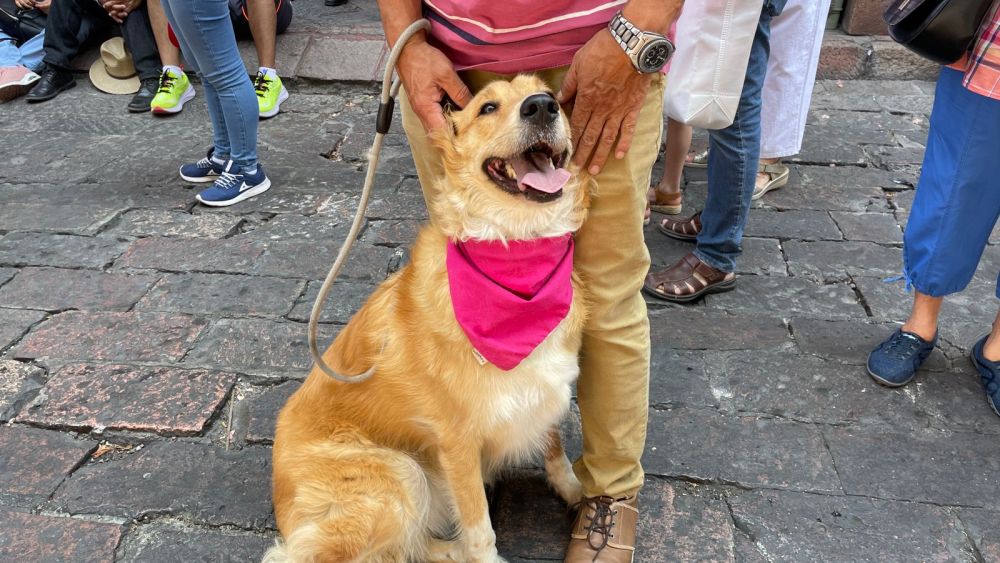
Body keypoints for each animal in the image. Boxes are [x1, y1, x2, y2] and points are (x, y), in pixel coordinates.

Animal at [270, 76, 588, 563]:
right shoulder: (457, 443)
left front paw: (577, 492)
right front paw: (485, 556)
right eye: (487, 107)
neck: (515, 248)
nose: (541, 107)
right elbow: (479, 527)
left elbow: (554, 447)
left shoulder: (542, 390)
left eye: (549, 95)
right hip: (400, 473)